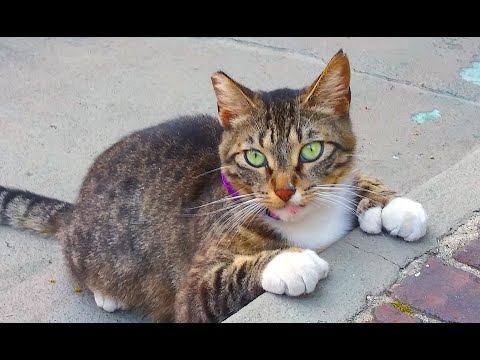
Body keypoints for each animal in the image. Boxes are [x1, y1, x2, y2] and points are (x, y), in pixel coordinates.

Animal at [0, 49, 428, 322]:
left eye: (311, 150)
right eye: (254, 158)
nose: (285, 191)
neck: (308, 224)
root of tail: (80, 204)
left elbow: (356, 179)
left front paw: (394, 207)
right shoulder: (191, 294)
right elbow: (223, 279)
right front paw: (291, 261)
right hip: (94, 248)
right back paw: (107, 293)